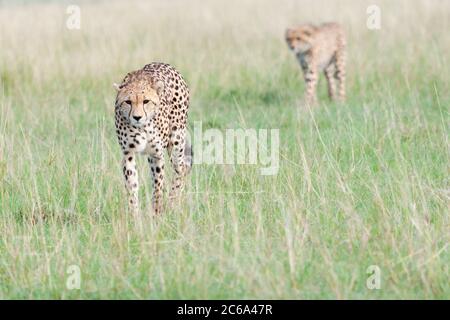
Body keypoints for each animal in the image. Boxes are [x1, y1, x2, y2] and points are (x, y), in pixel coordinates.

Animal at [114, 62, 192, 216]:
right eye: (128, 102)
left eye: (146, 101)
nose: (137, 117)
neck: (141, 128)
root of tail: (164, 64)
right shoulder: (128, 153)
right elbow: (132, 185)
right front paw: (134, 214)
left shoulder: (157, 154)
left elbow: (158, 186)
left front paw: (157, 212)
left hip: (176, 142)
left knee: (181, 168)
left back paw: (173, 202)